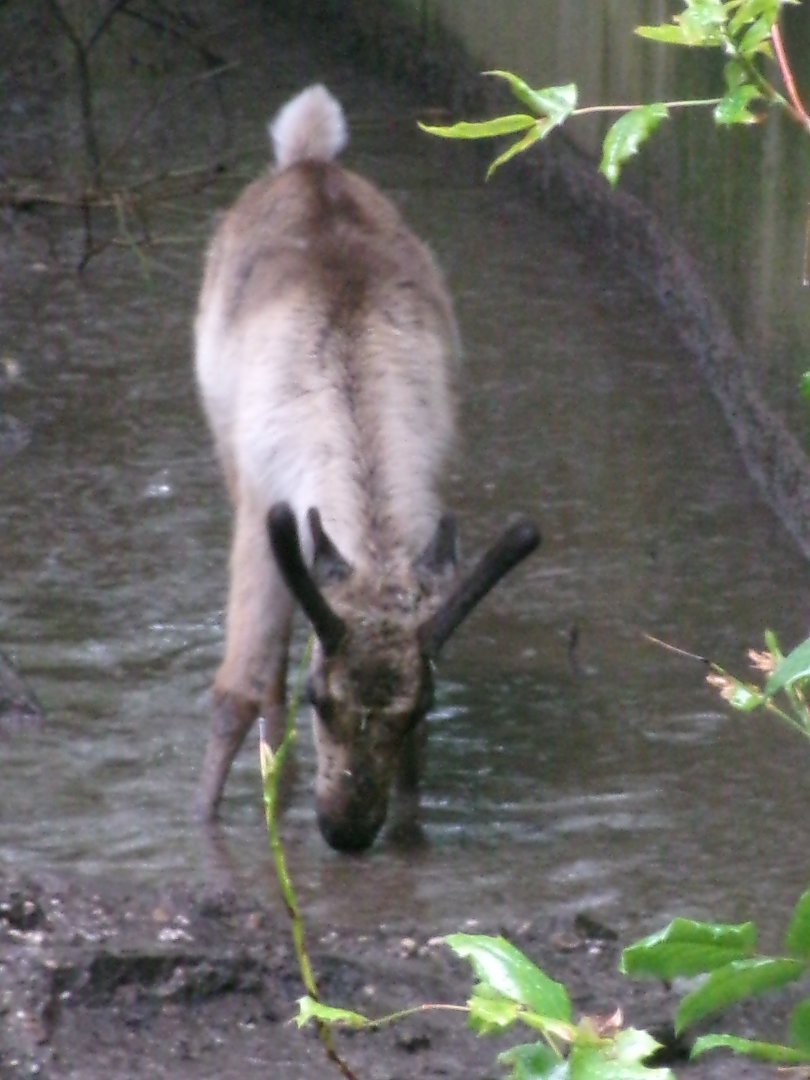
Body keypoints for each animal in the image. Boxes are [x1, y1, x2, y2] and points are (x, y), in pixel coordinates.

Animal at [193, 84, 539, 852]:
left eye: (416, 713)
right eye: (321, 700)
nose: (345, 831)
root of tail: (309, 160)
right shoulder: (260, 517)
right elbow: (236, 690)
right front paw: (199, 823)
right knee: (265, 676)